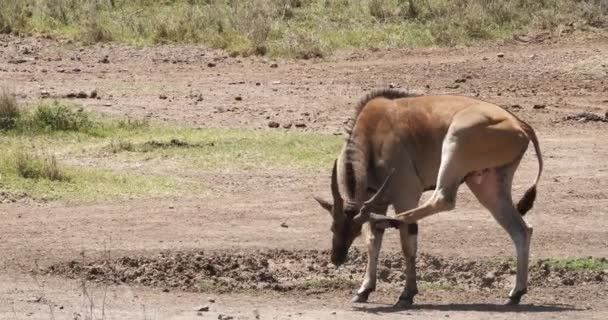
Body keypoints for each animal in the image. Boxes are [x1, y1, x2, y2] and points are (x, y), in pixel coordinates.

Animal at [314, 89, 540, 308]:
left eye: (353, 231)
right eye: (333, 228)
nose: (336, 257)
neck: (372, 132)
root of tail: (518, 123)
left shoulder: (406, 195)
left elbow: (407, 245)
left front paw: (406, 294)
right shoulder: (376, 202)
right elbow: (372, 241)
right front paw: (364, 290)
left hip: (455, 142)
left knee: (441, 200)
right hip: (489, 186)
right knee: (521, 230)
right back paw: (516, 293)